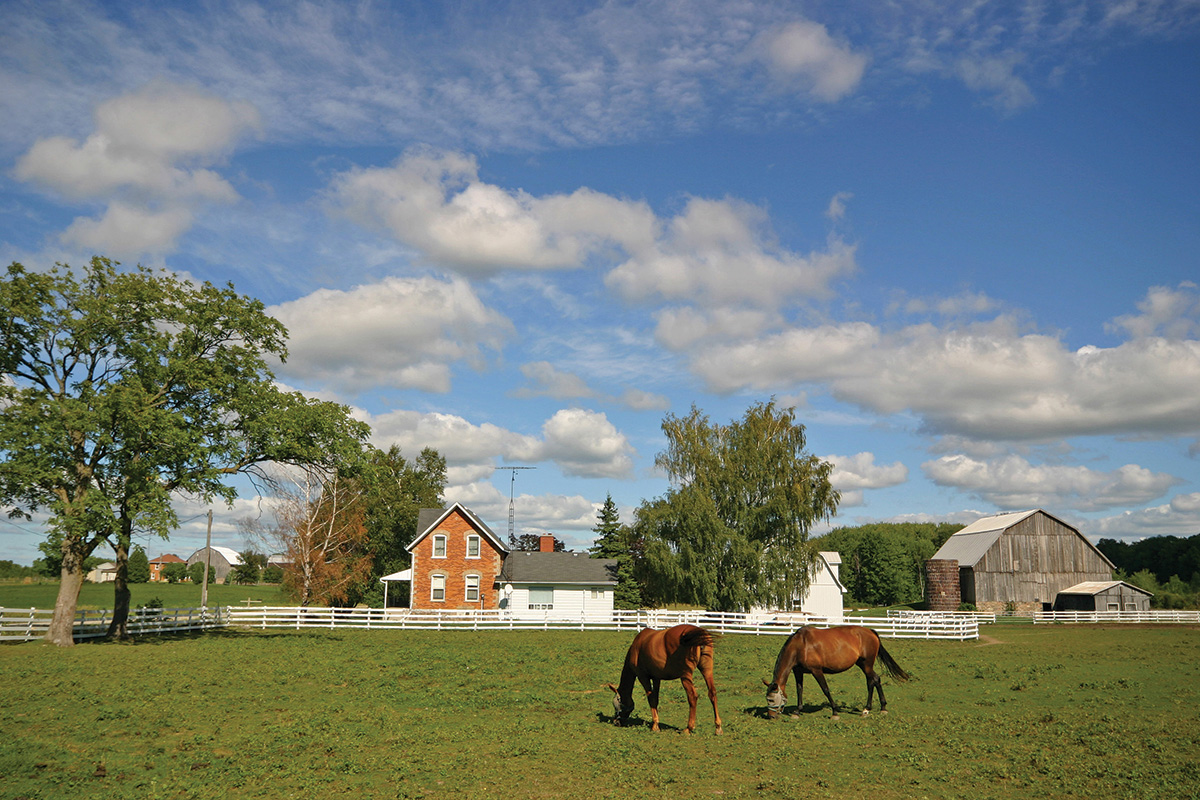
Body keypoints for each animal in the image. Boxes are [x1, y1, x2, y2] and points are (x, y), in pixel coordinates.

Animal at [768, 628, 907, 724]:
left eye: (771, 700)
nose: (771, 716)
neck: (801, 645)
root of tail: (870, 631)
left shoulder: (816, 671)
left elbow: (825, 689)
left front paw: (834, 712)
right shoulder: (798, 671)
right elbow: (799, 690)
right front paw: (797, 711)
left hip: (867, 665)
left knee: (874, 680)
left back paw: (870, 709)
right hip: (863, 664)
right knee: (874, 681)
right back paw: (877, 708)